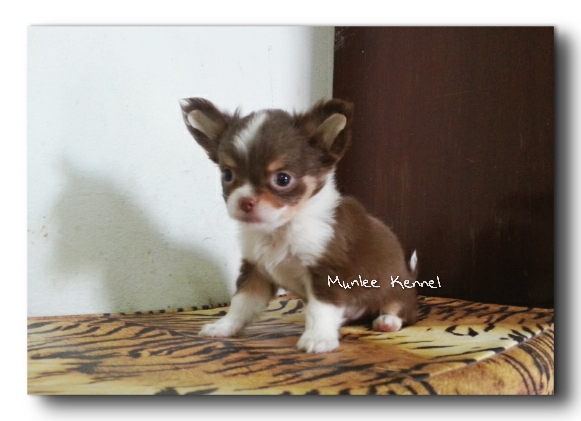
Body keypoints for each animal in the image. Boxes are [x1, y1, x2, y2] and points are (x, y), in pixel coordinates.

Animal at [179, 98, 417, 353]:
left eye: (283, 179)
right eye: (227, 175)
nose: (245, 202)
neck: (281, 229)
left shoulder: (326, 271)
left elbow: (320, 309)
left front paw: (318, 338)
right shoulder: (256, 271)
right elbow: (240, 303)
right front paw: (224, 326)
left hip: (396, 289)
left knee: (402, 310)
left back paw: (387, 320)